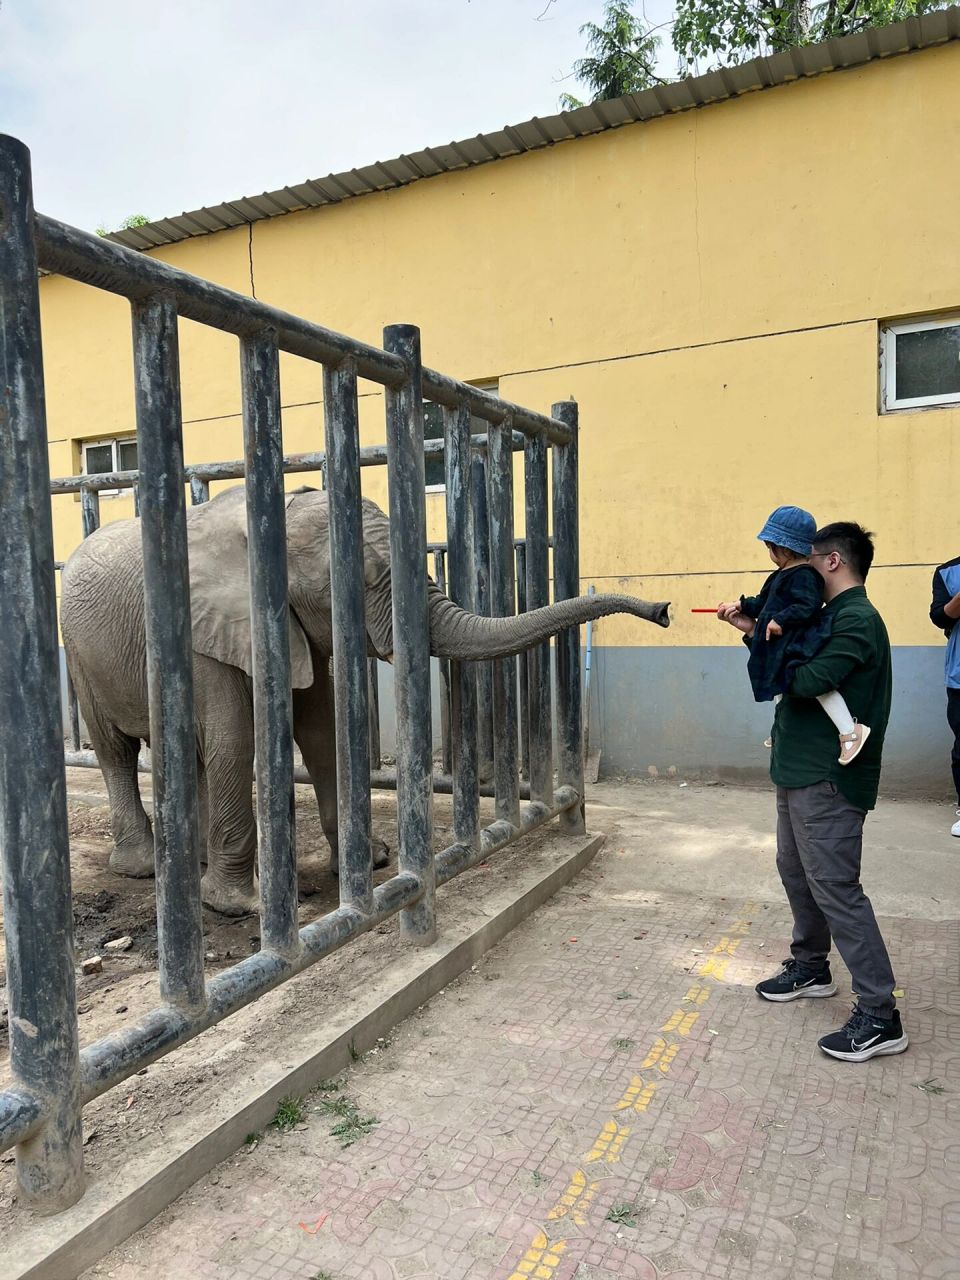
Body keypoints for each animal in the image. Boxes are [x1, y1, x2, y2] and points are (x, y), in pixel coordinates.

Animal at [62, 483, 670, 916]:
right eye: (364, 578)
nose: (663, 609)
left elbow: (321, 732)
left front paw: (371, 863)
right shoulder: (203, 633)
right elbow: (233, 741)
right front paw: (240, 907)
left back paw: (194, 864)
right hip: (80, 656)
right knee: (117, 750)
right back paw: (146, 869)